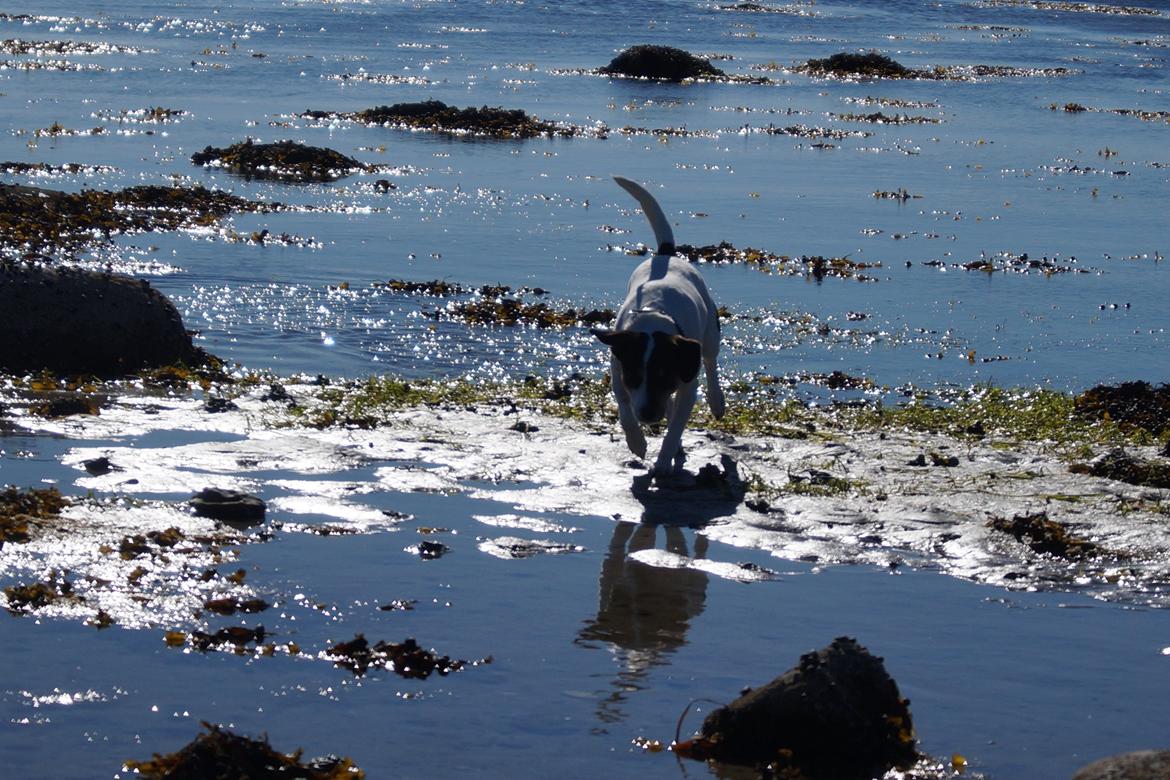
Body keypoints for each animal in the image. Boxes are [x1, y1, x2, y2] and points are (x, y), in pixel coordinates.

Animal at [594, 176, 720, 477]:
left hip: (711, 333)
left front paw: (663, 461)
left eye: (663, 376)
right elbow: (625, 410)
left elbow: (674, 428)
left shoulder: (687, 386)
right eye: (634, 377)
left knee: (711, 363)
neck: (653, 319)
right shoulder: (619, 373)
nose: (648, 415)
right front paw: (637, 443)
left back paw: (717, 401)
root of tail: (665, 256)